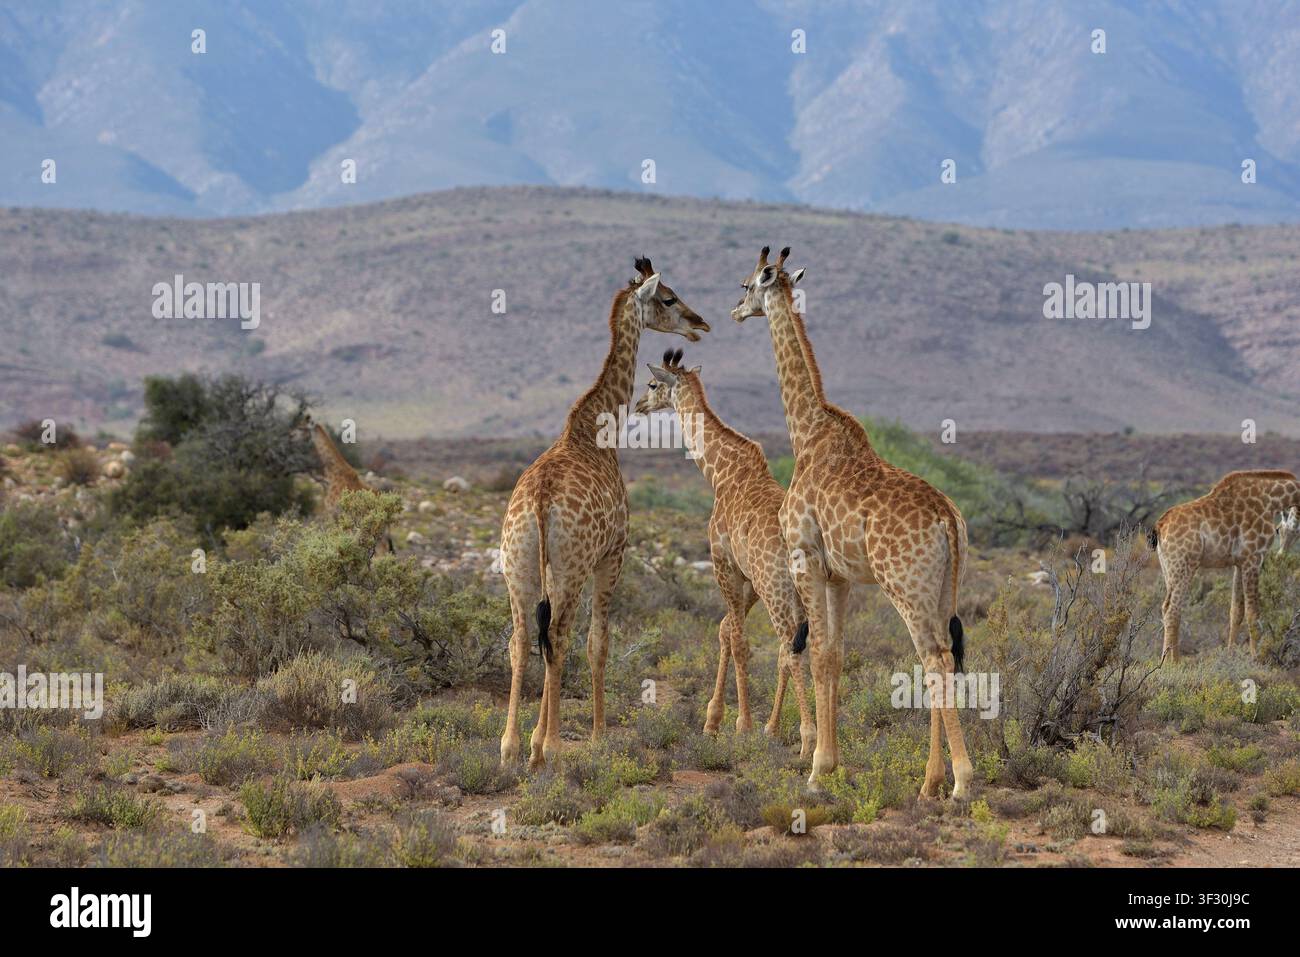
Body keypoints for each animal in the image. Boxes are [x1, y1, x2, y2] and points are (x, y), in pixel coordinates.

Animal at [498, 259, 710, 770]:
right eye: (669, 298)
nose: (700, 324)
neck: (596, 431)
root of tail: (538, 502)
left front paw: (536, 739)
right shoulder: (613, 554)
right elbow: (599, 643)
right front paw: (596, 736)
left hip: (518, 565)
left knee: (522, 639)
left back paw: (511, 747)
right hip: (572, 565)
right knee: (557, 636)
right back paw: (551, 747)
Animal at [634, 348, 816, 755]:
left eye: (652, 383)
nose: (638, 404)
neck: (721, 474)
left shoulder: (723, 563)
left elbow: (738, 639)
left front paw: (740, 724)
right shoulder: (747, 577)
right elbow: (724, 630)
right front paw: (719, 721)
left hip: (777, 588)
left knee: (791, 648)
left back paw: (809, 740)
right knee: (811, 649)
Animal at [732, 246, 973, 798]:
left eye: (749, 284)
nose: (734, 311)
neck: (806, 434)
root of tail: (949, 519)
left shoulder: (805, 556)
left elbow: (818, 652)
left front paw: (817, 769)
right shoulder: (839, 575)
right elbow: (836, 655)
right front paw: (834, 763)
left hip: (904, 584)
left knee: (933, 659)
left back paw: (960, 782)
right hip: (941, 588)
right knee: (942, 655)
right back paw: (929, 782)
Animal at [1150, 469, 1300, 661]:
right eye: (1278, 530)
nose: (1282, 555)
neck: (1272, 500)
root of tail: (1159, 526)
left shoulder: (1239, 563)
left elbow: (1236, 612)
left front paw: (1230, 655)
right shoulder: (1254, 558)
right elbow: (1253, 614)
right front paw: (1256, 659)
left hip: (1168, 568)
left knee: (1166, 608)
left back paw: (1167, 660)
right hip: (1184, 566)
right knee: (1172, 610)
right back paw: (1173, 663)